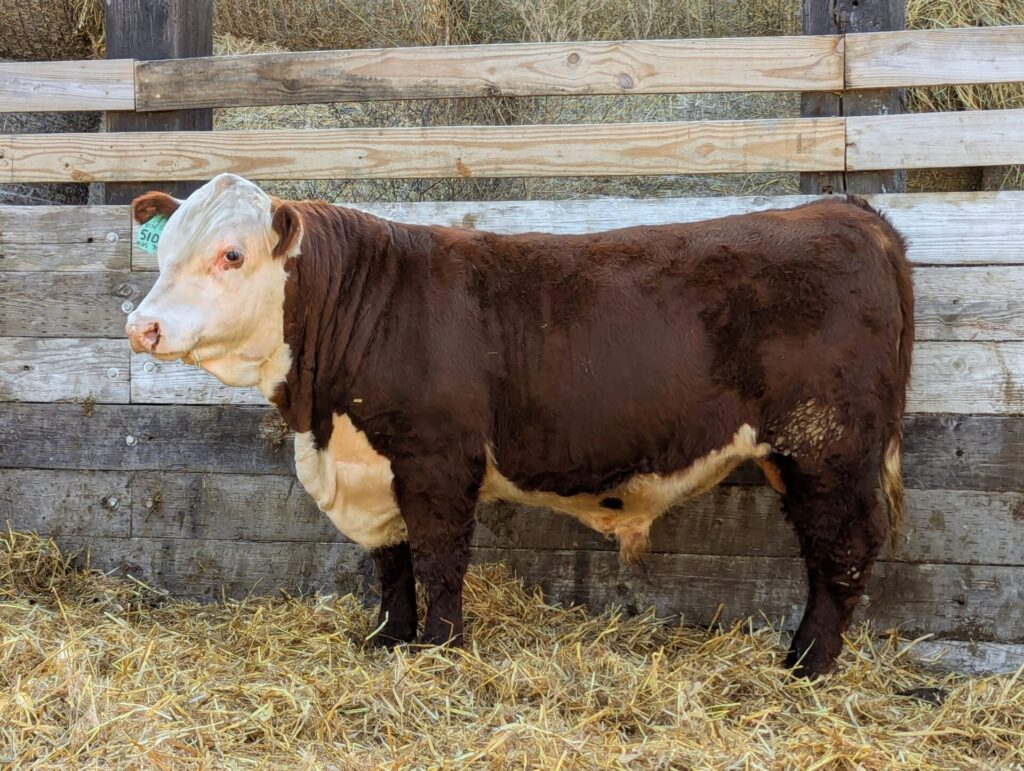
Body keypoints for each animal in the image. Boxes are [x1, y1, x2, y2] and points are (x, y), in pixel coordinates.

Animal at [126, 173, 913, 678]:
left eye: (232, 253)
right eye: (161, 251)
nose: (142, 326)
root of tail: (848, 213)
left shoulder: (437, 459)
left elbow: (438, 559)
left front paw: (440, 649)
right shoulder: (375, 469)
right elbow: (391, 563)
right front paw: (388, 641)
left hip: (828, 445)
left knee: (843, 549)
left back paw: (806, 664)